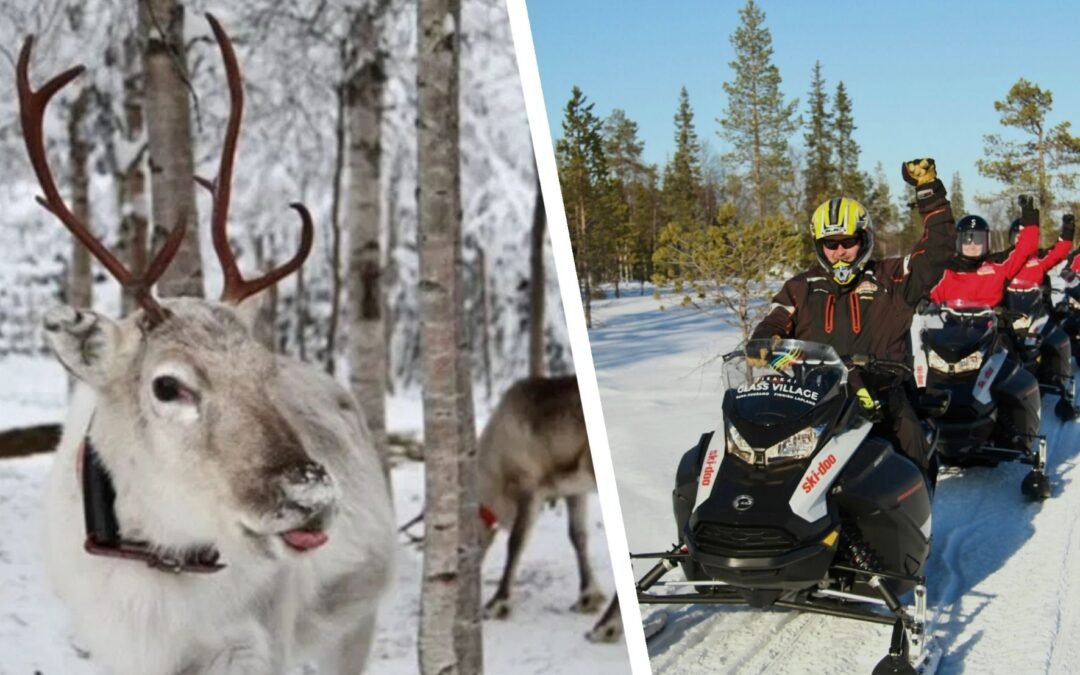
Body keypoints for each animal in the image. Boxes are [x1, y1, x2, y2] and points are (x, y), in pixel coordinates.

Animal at [17, 15, 394, 675]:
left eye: (266, 372)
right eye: (168, 385)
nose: (310, 492)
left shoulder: (253, 645)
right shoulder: (111, 648)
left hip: (351, 628)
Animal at [477, 375, 611, 629]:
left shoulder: (529, 488)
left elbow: (515, 543)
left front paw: (499, 601)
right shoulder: (574, 491)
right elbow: (578, 537)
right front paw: (588, 596)